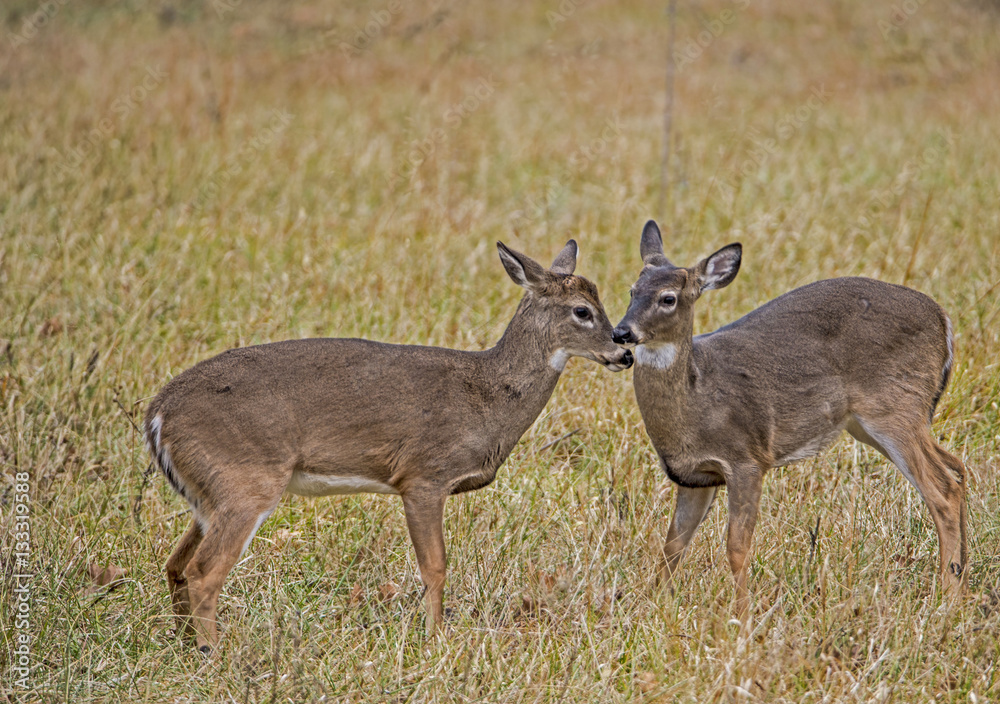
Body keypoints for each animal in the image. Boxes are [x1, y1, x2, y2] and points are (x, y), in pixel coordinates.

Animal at [144, 239, 633, 652]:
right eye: (582, 311)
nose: (624, 353)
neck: (486, 398)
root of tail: (158, 414)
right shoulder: (423, 474)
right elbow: (435, 566)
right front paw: (435, 639)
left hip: (210, 492)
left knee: (175, 565)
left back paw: (187, 646)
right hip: (248, 480)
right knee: (202, 572)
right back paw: (215, 654)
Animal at [612, 220, 967, 615]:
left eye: (668, 298)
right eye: (632, 291)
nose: (621, 332)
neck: (696, 400)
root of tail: (943, 319)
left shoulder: (746, 458)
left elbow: (736, 547)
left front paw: (742, 615)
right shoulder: (694, 477)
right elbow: (673, 544)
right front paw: (653, 604)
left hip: (894, 408)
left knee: (943, 491)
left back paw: (949, 597)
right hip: (877, 422)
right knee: (957, 469)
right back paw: (963, 581)